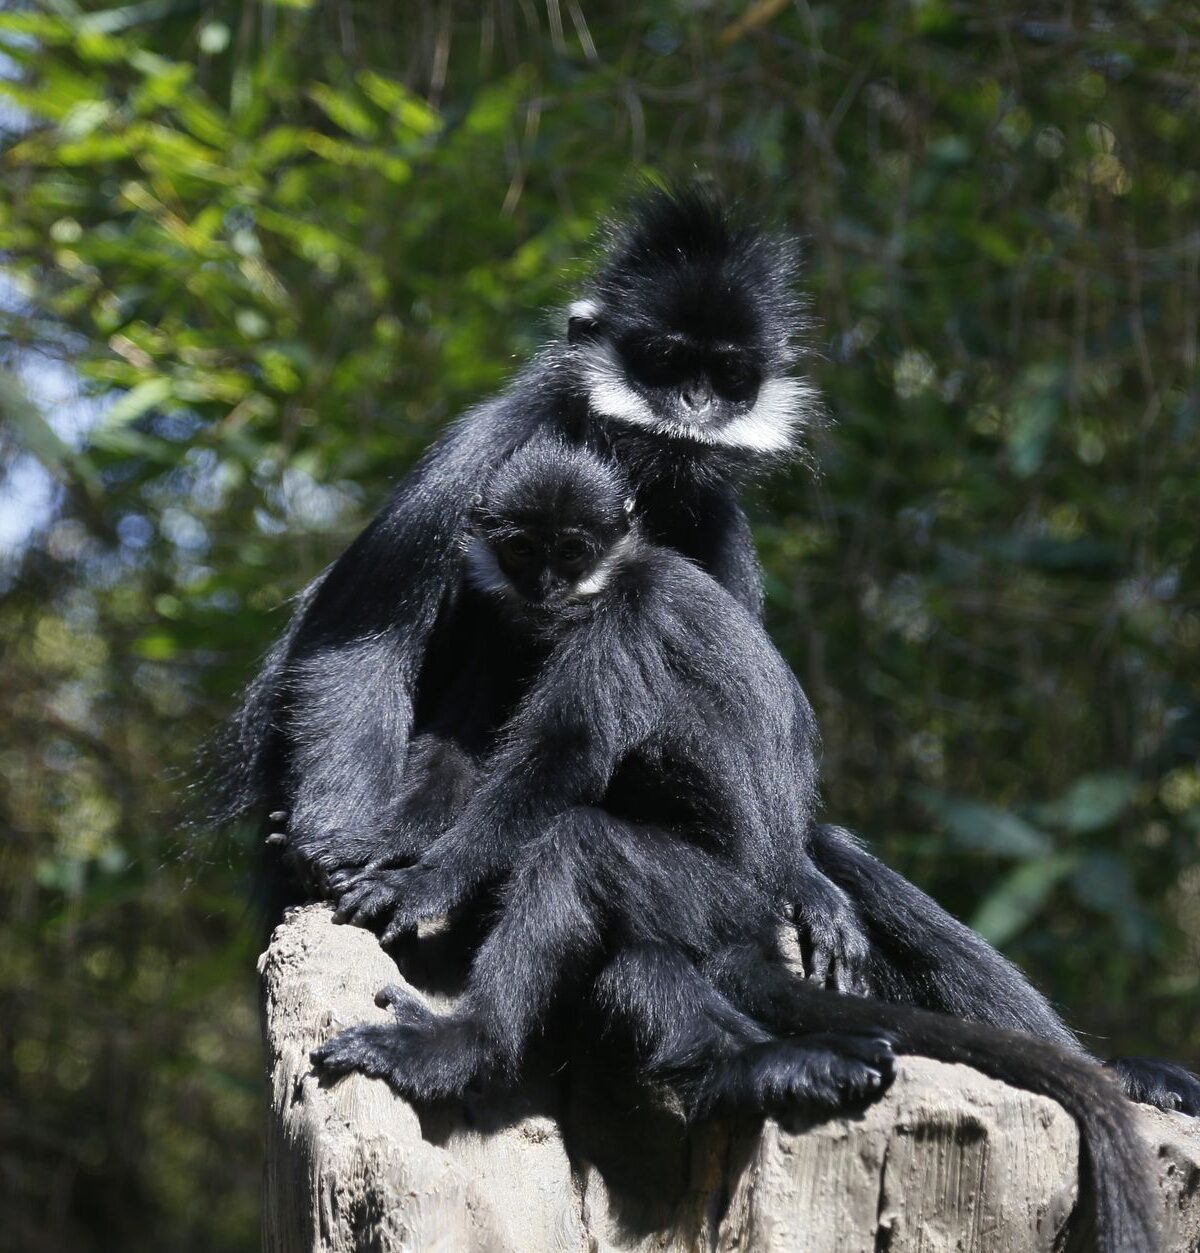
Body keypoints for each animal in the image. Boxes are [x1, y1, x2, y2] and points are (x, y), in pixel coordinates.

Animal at [312, 440, 1159, 1253]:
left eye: (575, 549)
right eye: (523, 548)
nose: (548, 586)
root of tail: (760, 919)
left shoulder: (629, 617)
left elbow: (562, 760)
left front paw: (420, 882)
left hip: (711, 893)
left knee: (577, 846)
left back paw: (467, 1048)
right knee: (629, 949)